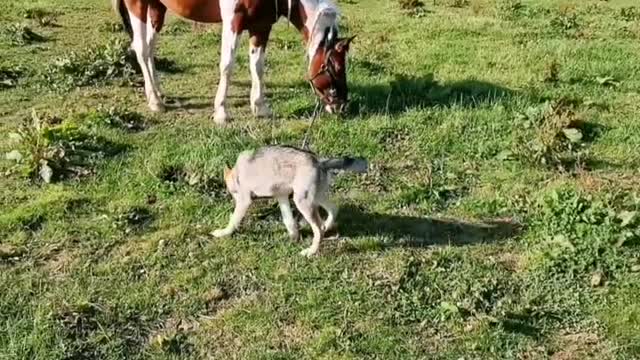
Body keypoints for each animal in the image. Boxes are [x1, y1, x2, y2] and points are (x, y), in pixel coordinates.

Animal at [110, 0, 356, 123]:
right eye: (335, 66)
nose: (341, 106)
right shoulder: (234, 20)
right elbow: (227, 65)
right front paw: (221, 112)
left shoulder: (261, 26)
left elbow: (258, 66)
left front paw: (260, 107)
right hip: (137, 5)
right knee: (142, 49)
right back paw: (155, 101)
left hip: (157, 7)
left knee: (150, 47)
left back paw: (158, 92)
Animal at [212, 145, 368, 258]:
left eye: (233, 193)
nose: (233, 198)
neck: (237, 173)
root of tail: (319, 161)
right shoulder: (282, 197)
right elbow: (288, 221)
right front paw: (294, 238)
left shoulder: (245, 201)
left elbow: (233, 221)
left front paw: (223, 233)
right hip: (315, 198)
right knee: (333, 210)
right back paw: (327, 227)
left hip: (303, 202)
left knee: (318, 229)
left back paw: (311, 251)